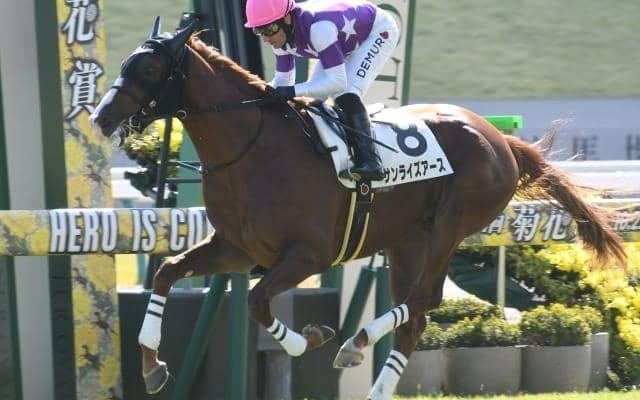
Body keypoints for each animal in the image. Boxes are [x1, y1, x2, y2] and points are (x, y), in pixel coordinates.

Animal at [89, 19, 626, 399]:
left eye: (150, 69)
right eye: (125, 63)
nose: (101, 117)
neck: (254, 148)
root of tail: (502, 140)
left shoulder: (309, 254)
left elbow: (259, 302)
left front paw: (311, 338)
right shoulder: (236, 249)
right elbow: (167, 273)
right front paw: (152, 365)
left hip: (451, 225)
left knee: (427, 299)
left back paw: (358, 341)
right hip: (408, 240)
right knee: (416, 319)